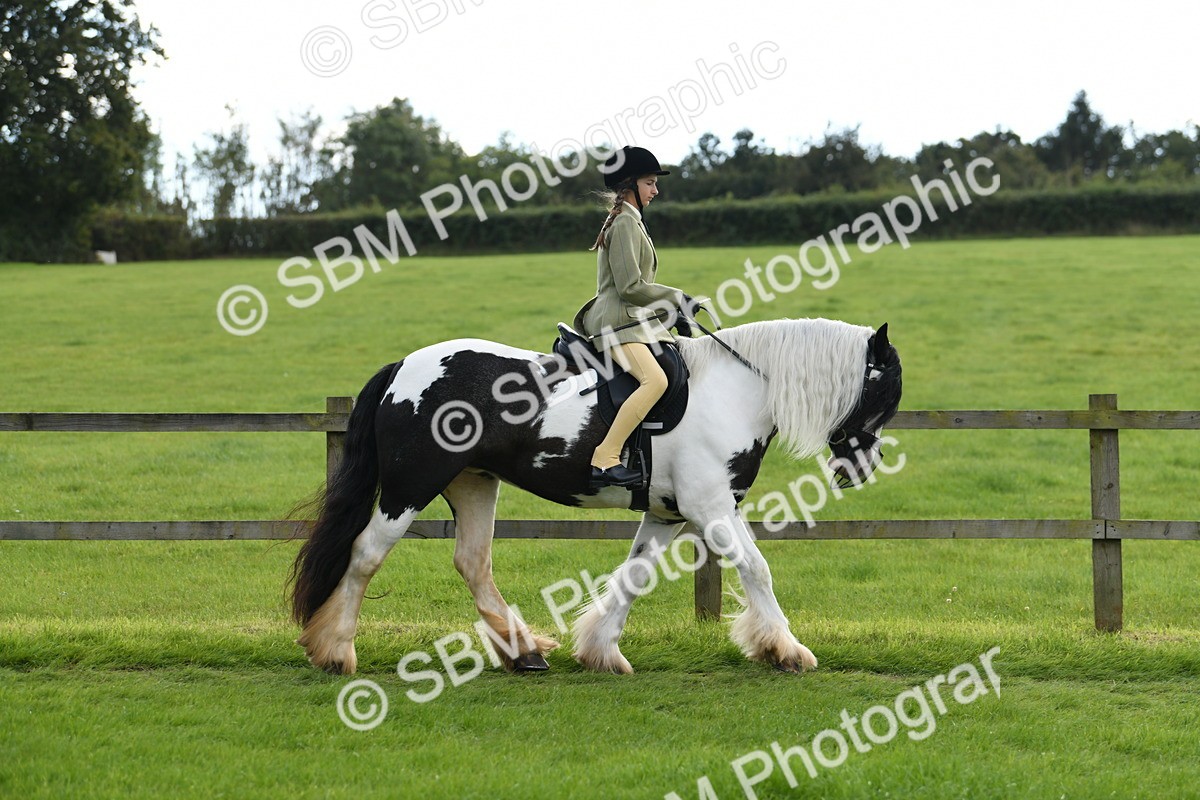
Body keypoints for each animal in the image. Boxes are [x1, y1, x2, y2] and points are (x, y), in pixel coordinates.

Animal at [288, 317, 902, 675]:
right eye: (886, 386)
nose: (861, 466)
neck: (738, 388)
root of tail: (403, 369)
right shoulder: (711, 509)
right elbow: (756, 569)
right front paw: (785, 649)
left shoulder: (668, 514)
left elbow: (635, 575)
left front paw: (600, 649)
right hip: (410, 486)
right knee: (366, 554)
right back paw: (336, 651)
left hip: (473, 482)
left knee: (473, 562)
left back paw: (524, 653)